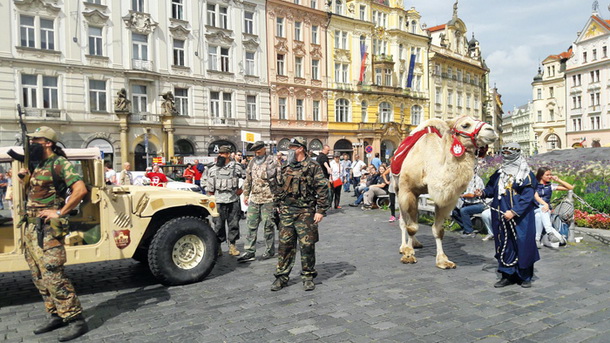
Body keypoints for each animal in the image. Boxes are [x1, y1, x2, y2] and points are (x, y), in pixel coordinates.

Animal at [392, 117, 496, 270]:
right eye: (465, 125)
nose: (491, 130)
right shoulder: (408, 190)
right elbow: (411, 227)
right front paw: (408, 256)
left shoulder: (445, 198)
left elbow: (438, 230)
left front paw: (443, 260)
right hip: (397, 188)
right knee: (403, 221)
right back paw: (404, 247)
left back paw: (415, 243)